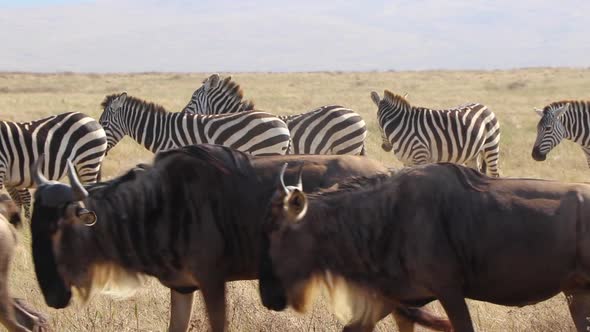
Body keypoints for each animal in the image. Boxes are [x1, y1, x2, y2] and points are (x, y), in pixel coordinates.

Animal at [372, 88, 502, 176]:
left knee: (495, 174)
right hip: (473, 154)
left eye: (378, 123)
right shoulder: (406, 162)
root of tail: (484, 106)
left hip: (491, 147)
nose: (385, 147)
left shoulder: (420, 157)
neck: (402, 125)